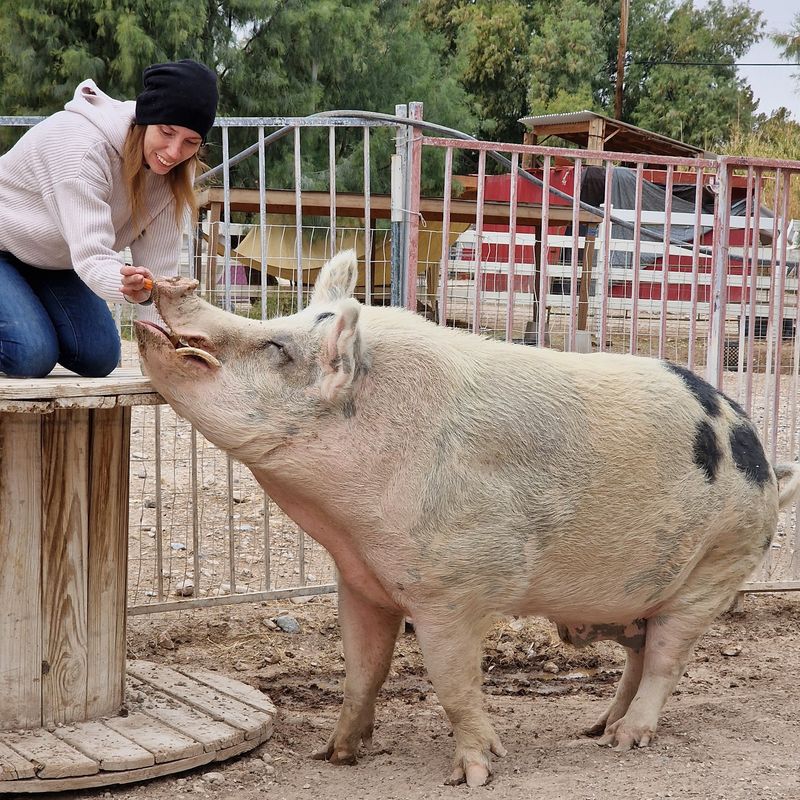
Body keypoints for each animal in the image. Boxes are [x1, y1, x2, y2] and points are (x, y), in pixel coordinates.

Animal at [135, 250, 800, 787]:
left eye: (276, 347)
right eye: (279, 326)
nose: (170, 285)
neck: (348, 523)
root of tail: (765, 465)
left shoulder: (452, 589)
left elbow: (454, 686)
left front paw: (473, 775)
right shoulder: (361, 582)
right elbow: (362, 671)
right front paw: (335, 755)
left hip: (720, 563)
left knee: (666, 657)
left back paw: (624, 741)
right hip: (620, 598)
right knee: (638, 651)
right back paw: (594, 728)